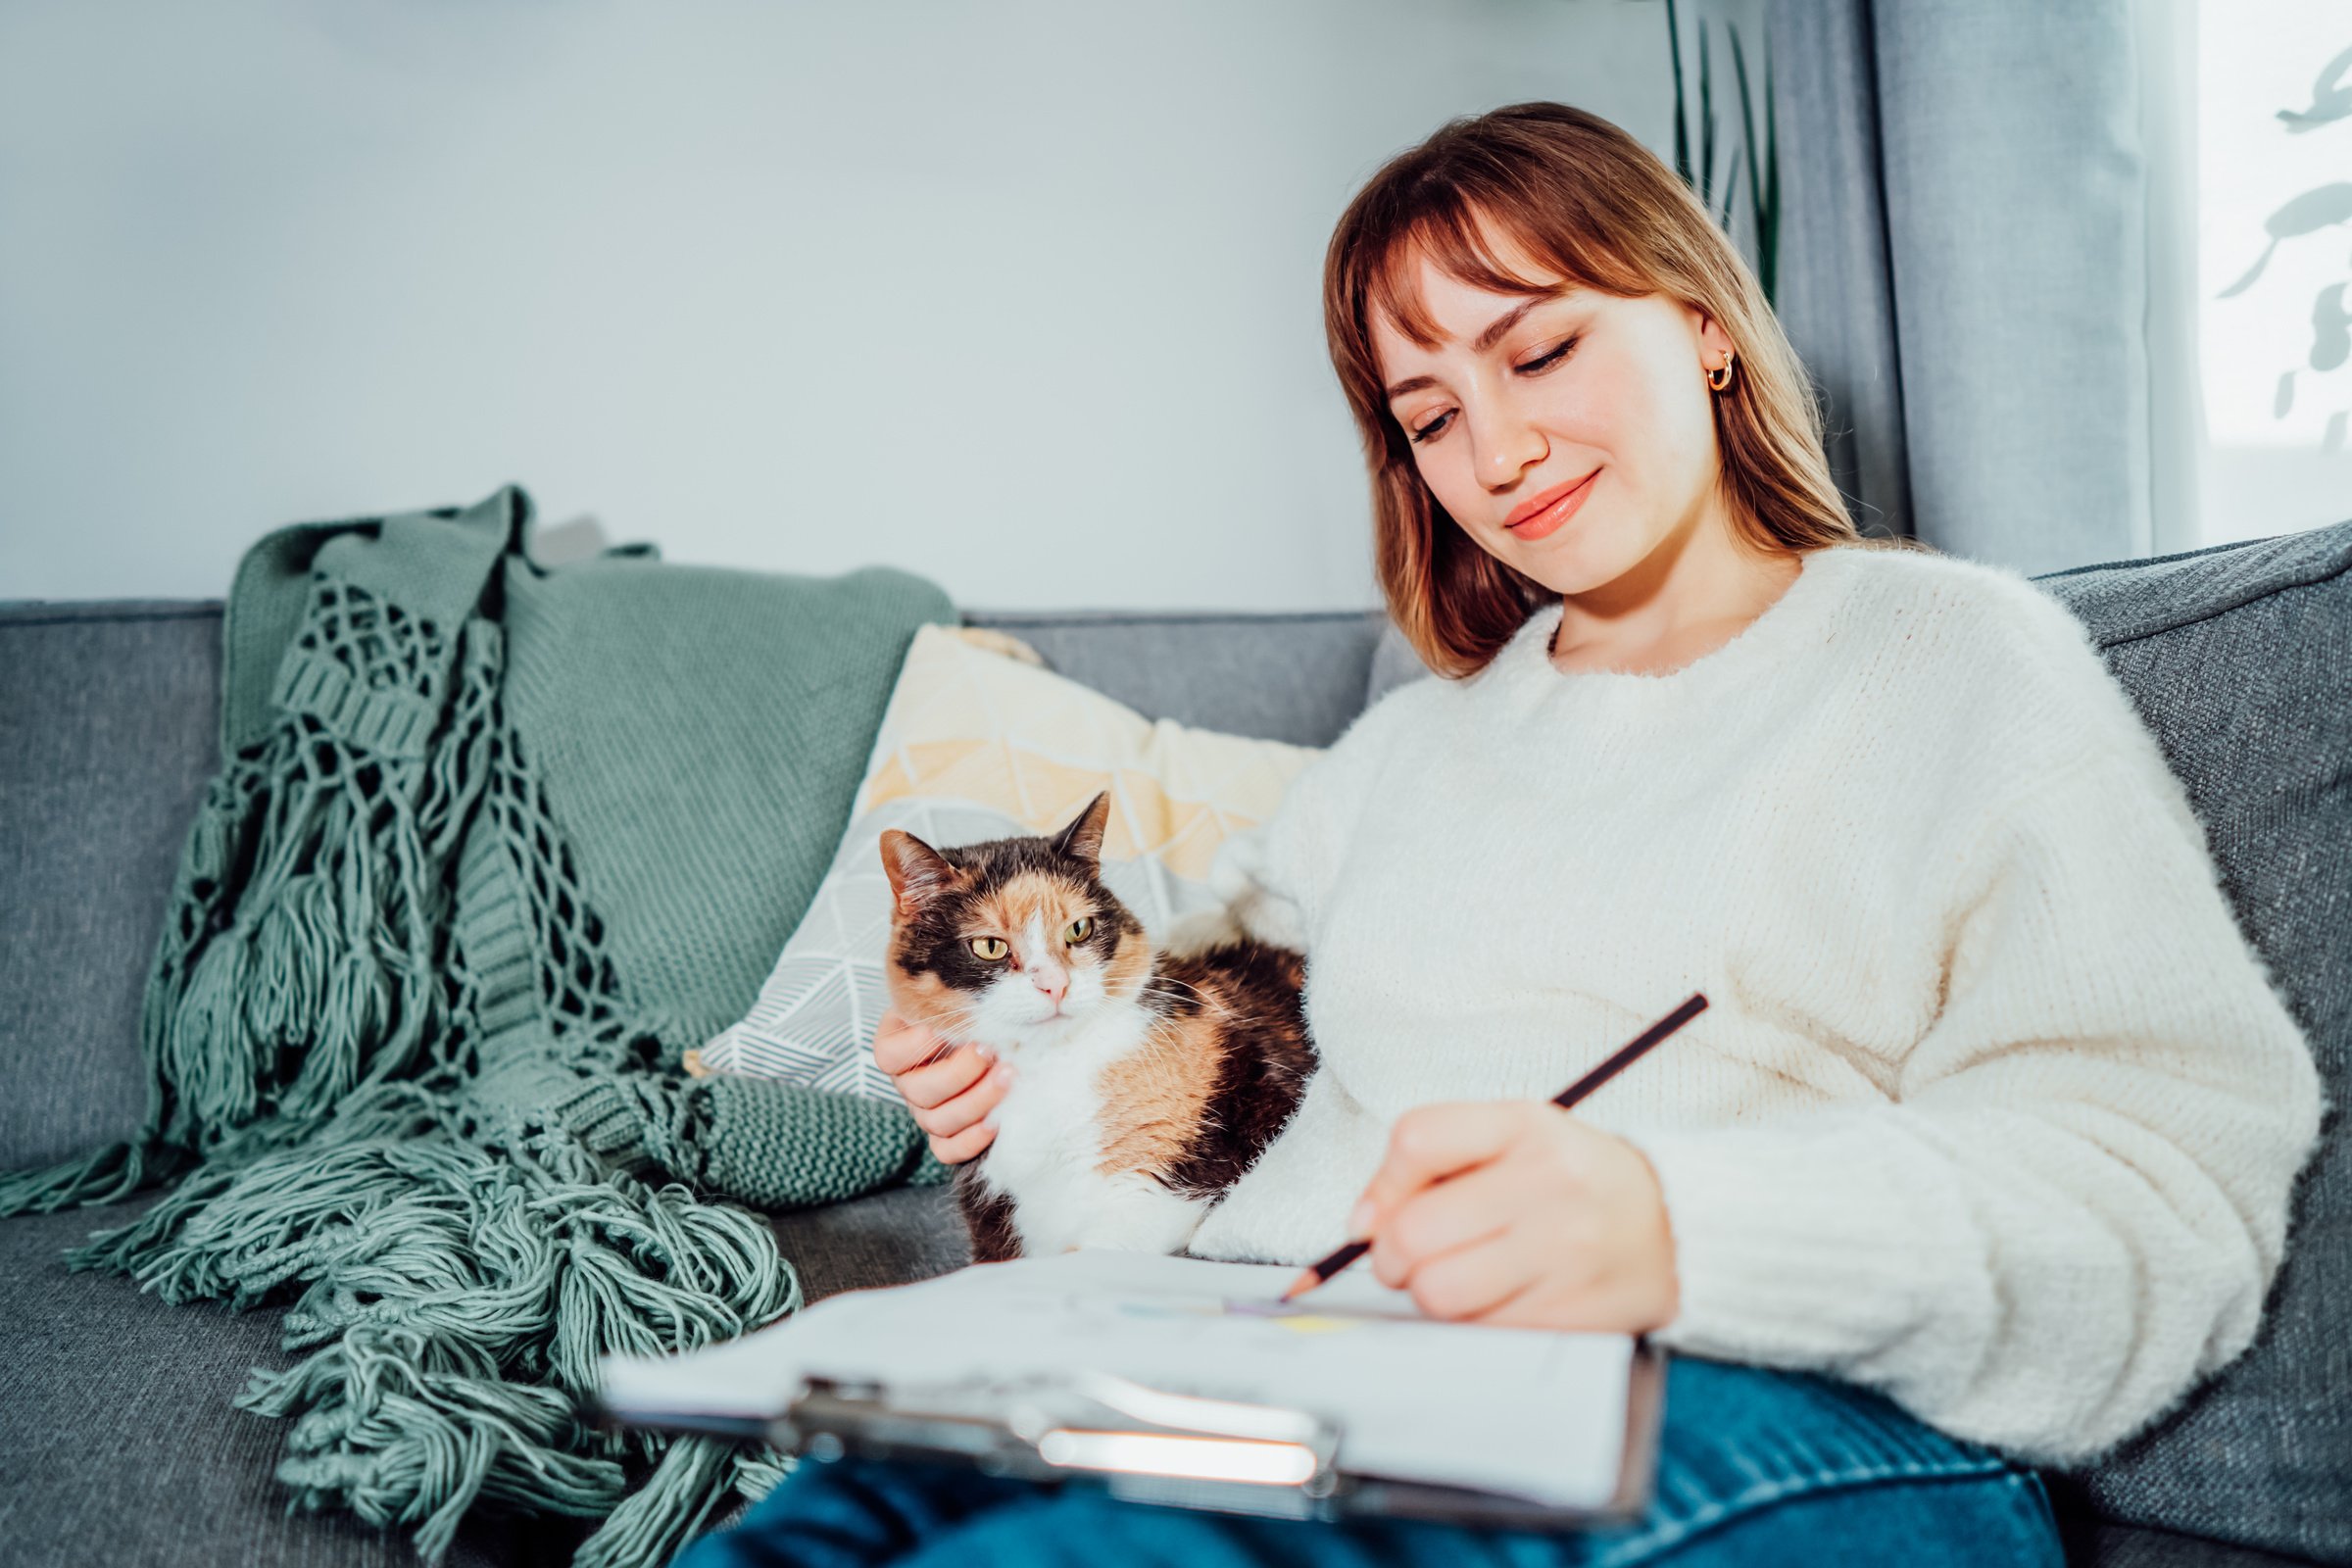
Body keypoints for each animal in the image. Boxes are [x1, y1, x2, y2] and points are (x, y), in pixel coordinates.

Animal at [884, 789, 1326, 1269]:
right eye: (989, 947)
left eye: (1079, 929)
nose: (1054, 984)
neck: (1048, 1073)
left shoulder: (1180, 1175)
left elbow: (1093, 1252)